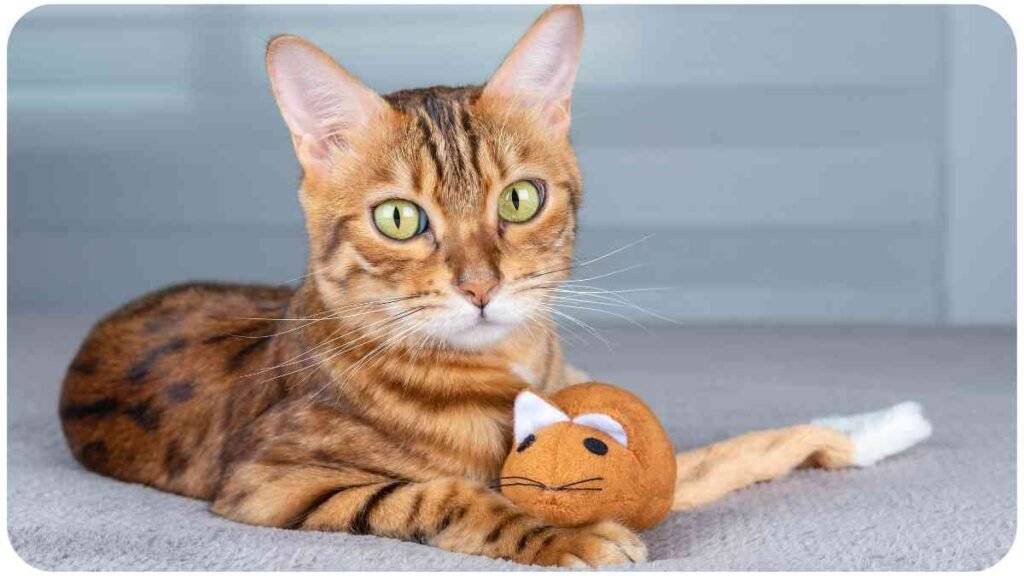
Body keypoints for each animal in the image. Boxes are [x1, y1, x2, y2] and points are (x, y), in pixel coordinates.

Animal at [58, 5, 647, 565]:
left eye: (519, 200)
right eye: (398, 219)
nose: (480, 287)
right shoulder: (271, 482)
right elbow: (443, 497)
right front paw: (566, 535)